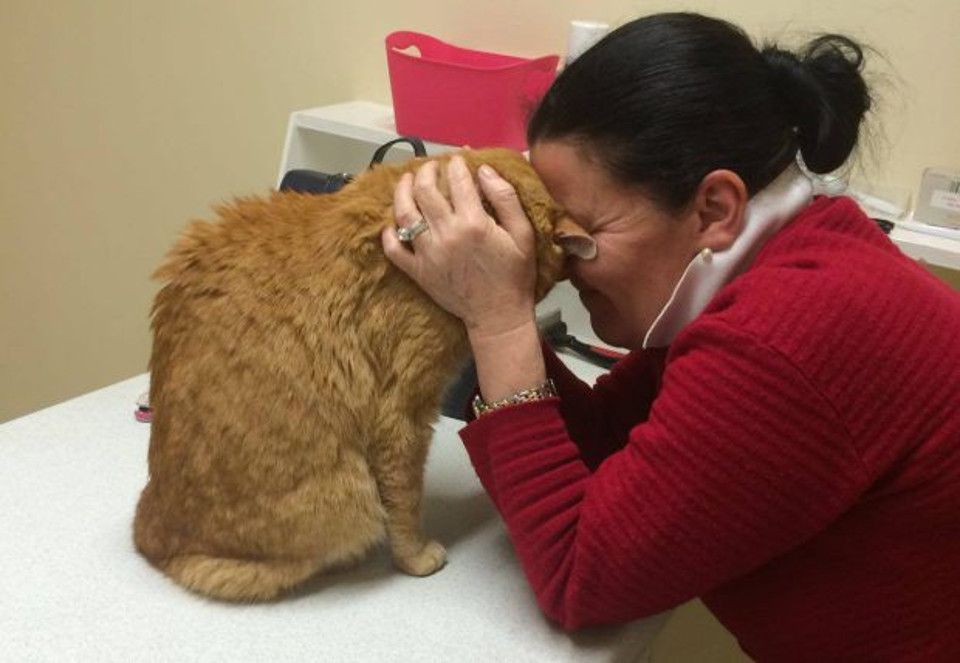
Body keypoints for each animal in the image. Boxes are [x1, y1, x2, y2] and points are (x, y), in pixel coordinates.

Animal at [132, 149, 580, 600]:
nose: (542, 295)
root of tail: (148, 531)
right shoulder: (402, 413)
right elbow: (404, 497)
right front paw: (415, 556)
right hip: (349, 498)